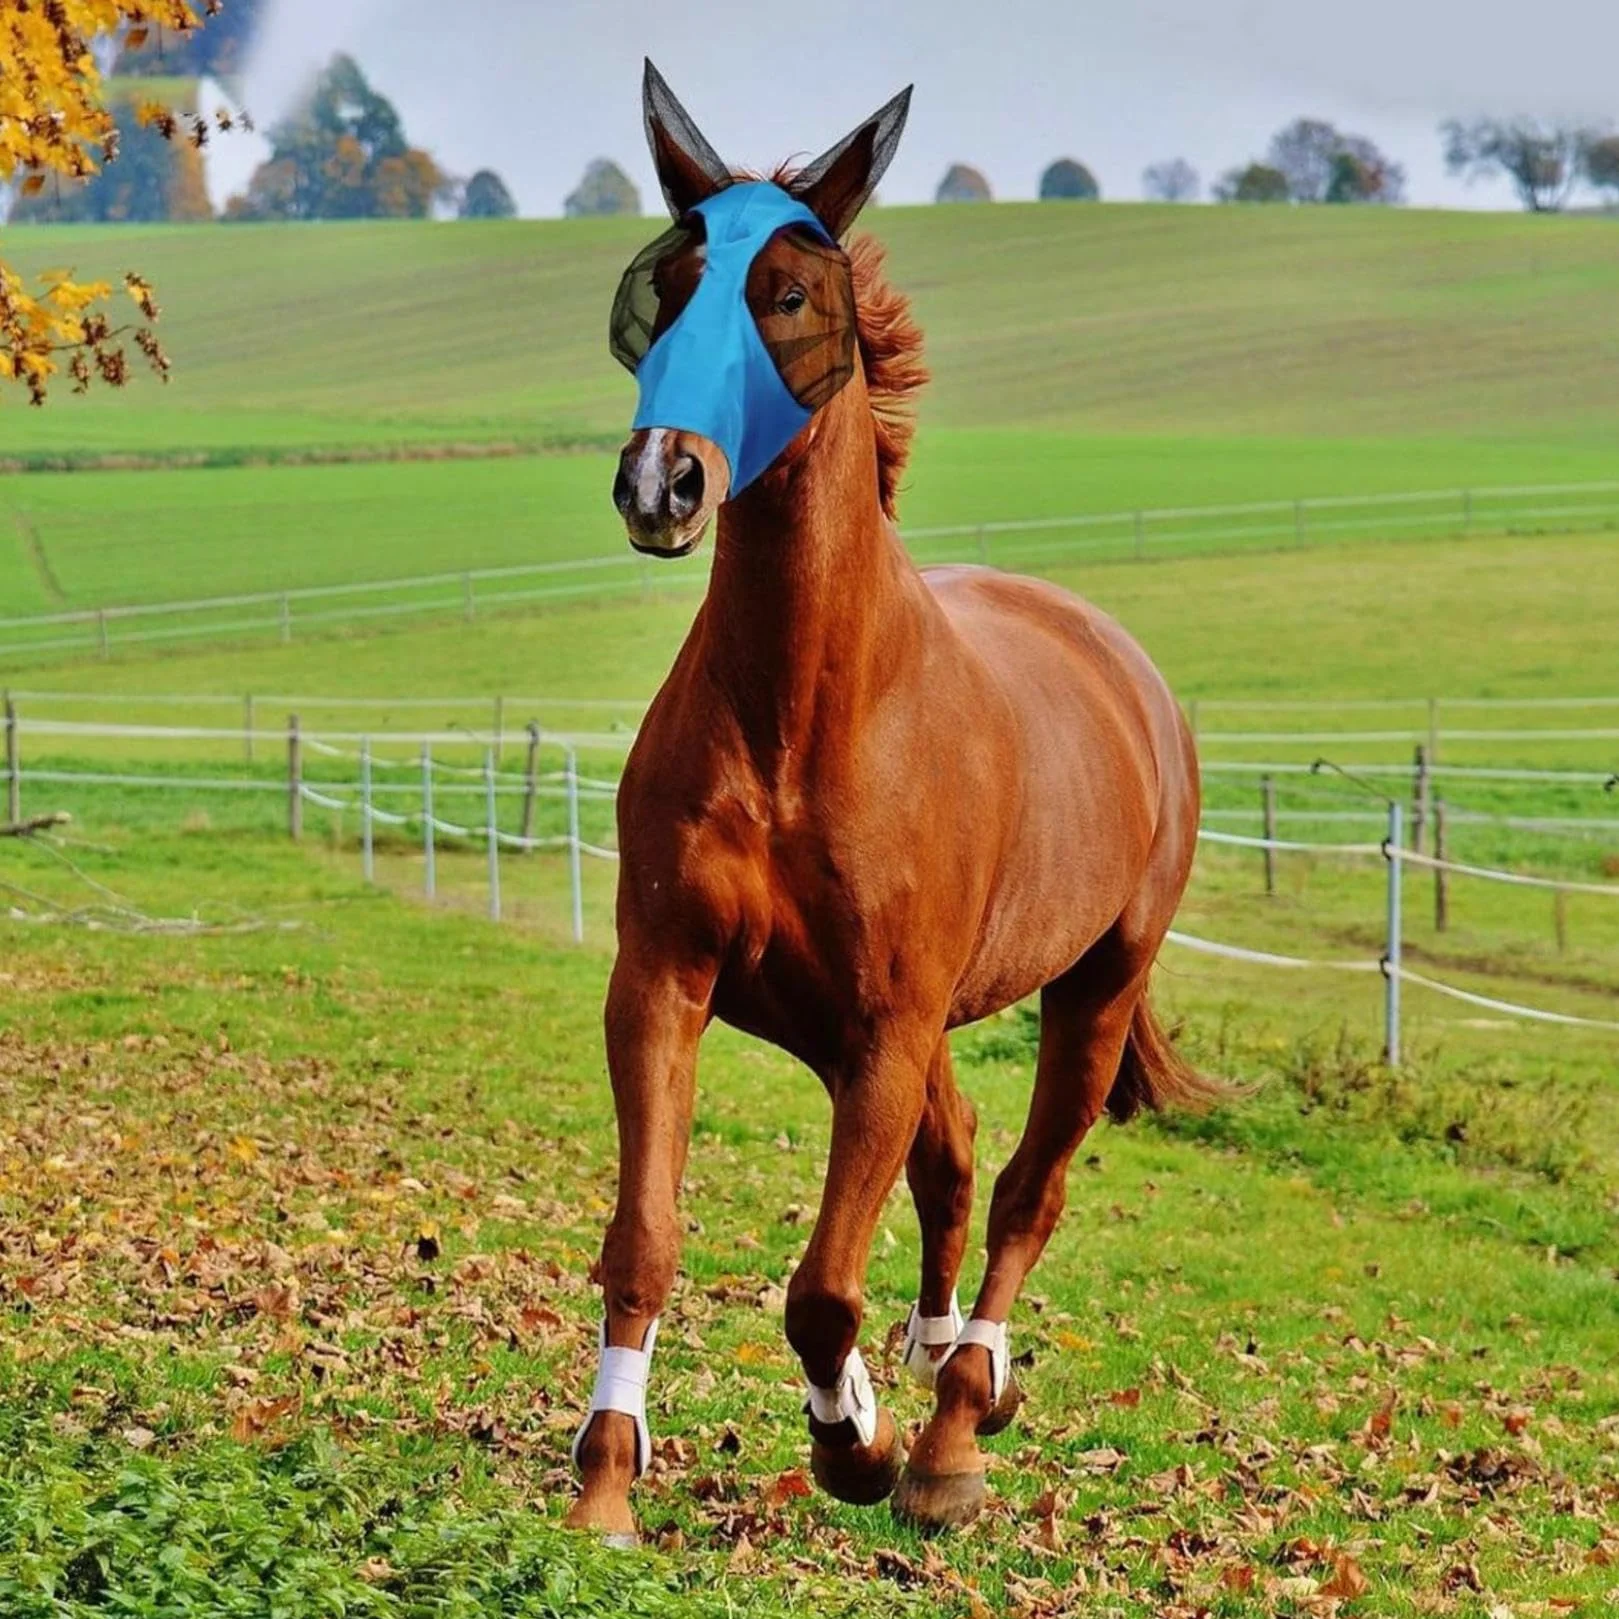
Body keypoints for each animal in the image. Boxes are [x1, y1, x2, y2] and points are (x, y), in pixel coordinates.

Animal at [567, 61, 1216, 1543]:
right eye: (666, 284)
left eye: (787, 296)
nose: (661, 479)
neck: (802, 716)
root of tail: (1127, 673)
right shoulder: (669, 980)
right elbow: (646, 1236)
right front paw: (604, 1486)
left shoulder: (885, 1024)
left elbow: (819, 1286)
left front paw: (853, 1442)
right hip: (859, 1025)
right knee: (957, 1158)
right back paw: (936, 1368)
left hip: (1085, 991)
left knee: (1026, 1188)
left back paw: (953, 1427)